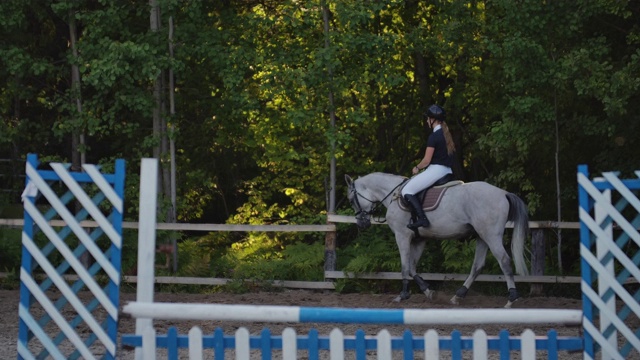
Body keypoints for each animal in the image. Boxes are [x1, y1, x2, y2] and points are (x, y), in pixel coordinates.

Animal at [344, 173, 528, 308]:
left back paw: (511, 299)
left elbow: (404, 267)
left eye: (351, 200)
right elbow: (412, 268)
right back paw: (458, 296)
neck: (393, 195)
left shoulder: (402, 236)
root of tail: (503, 193)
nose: (362, 224)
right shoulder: (419, 239)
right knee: (478, 266)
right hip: (482, 236)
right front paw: (428, 291)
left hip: (491, 235)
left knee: (504, 261)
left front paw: (403, 295)